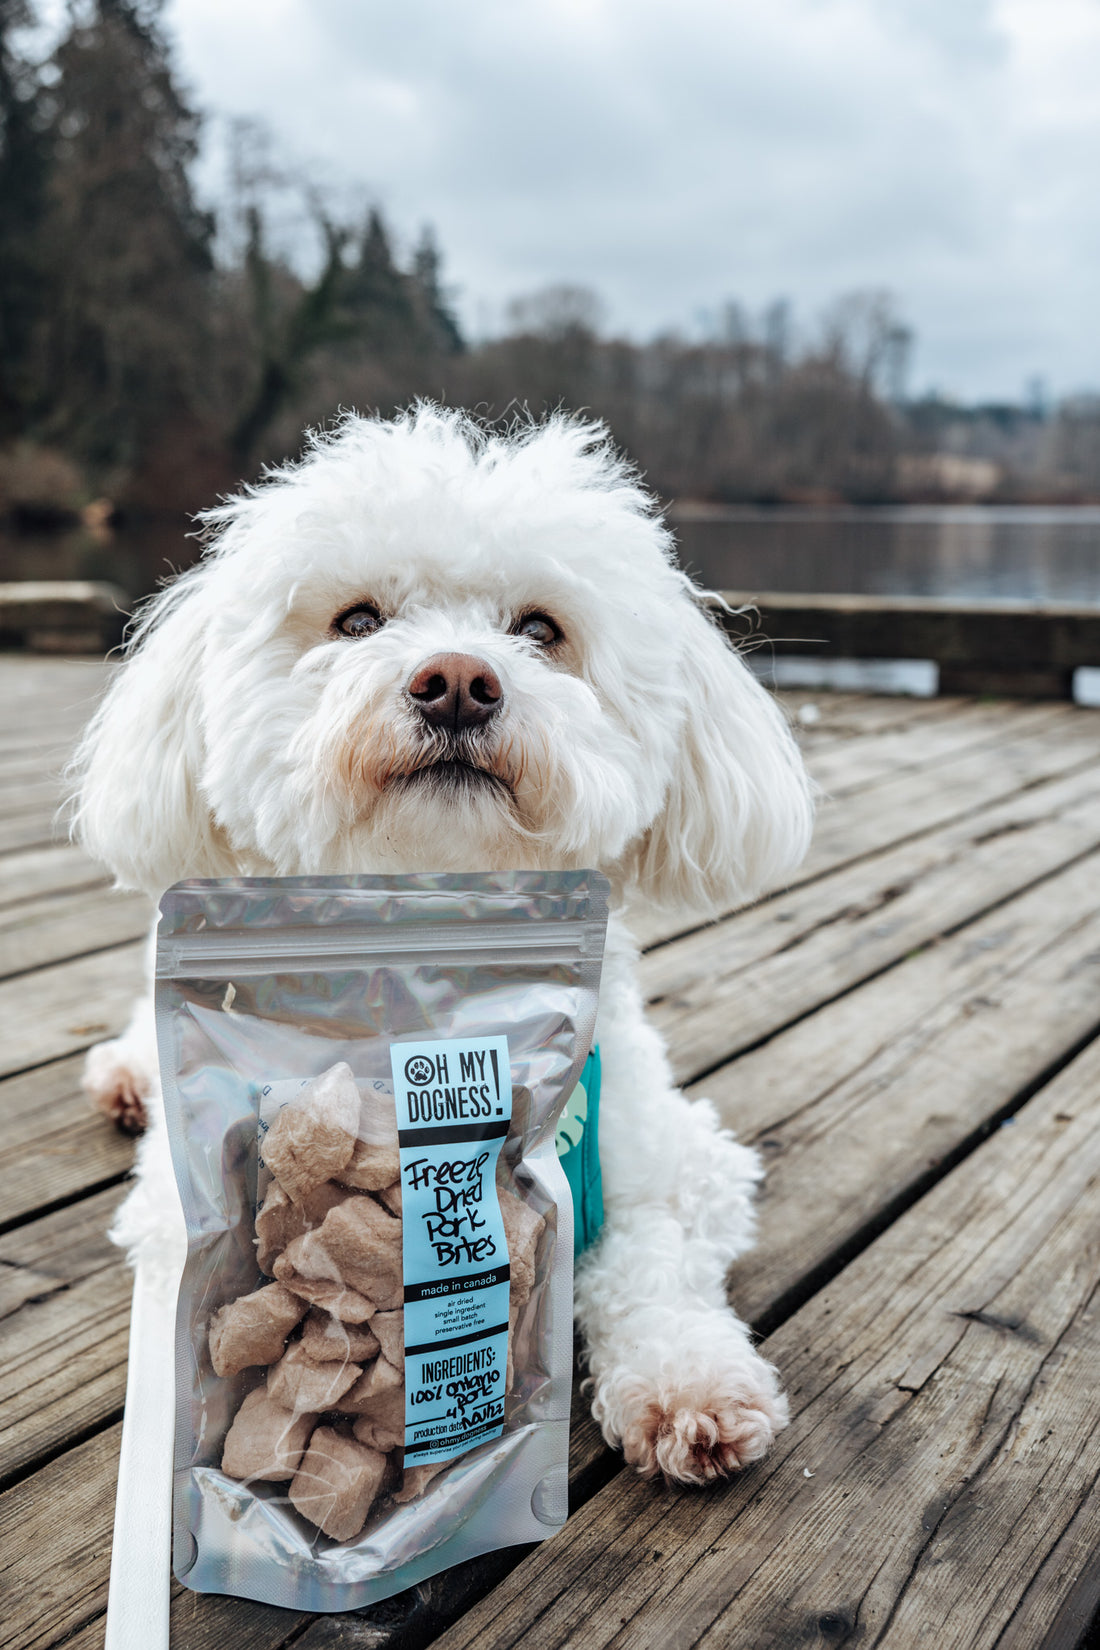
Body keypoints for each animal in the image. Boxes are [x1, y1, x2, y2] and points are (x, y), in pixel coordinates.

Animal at [68, 409, 808, 1485]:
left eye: (538, 629)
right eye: (357, 621)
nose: (456, 680)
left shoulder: (676, 1159)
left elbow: (651, 1259)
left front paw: (687, 1381)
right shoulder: (175, 1217)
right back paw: (127, 1074)